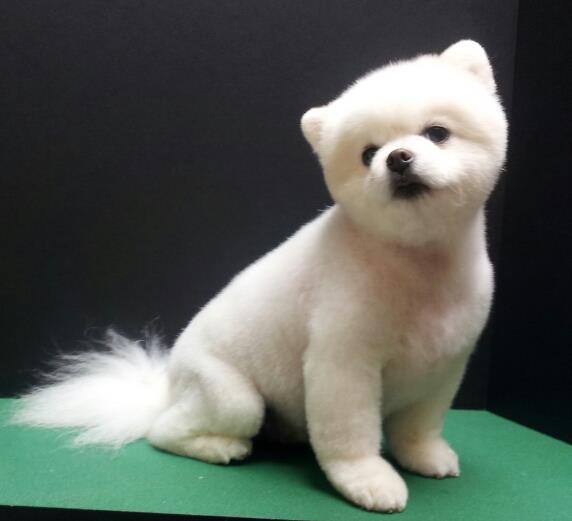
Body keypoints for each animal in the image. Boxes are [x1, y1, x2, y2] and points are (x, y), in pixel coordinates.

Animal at [14, 40, 504, 512]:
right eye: (367, 154)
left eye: (437, 133)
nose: (398, 158)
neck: (419, 263)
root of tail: (168, 385)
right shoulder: (343, 363)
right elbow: (350, 435)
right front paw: (368, 481)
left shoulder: (445, 364)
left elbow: (420, 426)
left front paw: (425, 456)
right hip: (232, 398)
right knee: (166, 431)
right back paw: (218, 447)